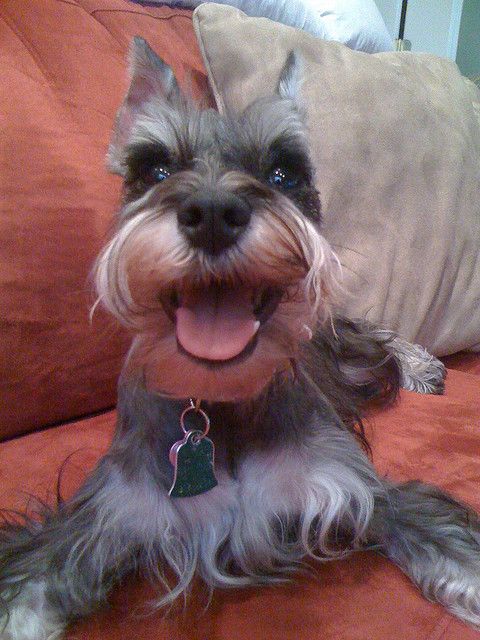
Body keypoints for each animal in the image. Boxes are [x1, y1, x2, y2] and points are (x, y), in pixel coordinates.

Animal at [1, 37, 478, 636]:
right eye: (155, 167)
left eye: (283, 173)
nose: (211, 213)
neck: (221, 405)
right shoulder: (103, 516)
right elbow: (24, 587)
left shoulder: (364, 491)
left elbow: (447, 537)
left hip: (343, 354)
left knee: (372, 335)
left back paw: (421, 366)